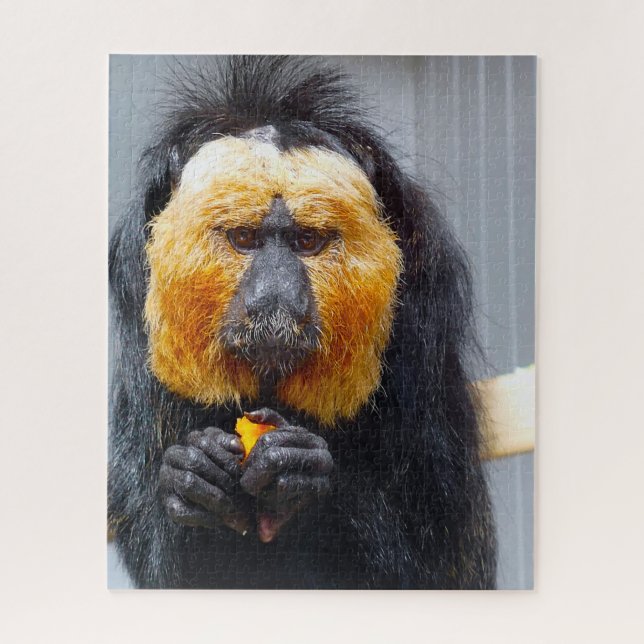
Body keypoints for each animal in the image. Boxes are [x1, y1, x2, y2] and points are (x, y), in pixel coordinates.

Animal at [108, 56, 496, 589]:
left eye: (308, 241)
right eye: (245, 238)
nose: (275, 295)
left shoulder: (426, 307)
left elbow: (439, 551)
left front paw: (300, 474)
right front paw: (194, 477)